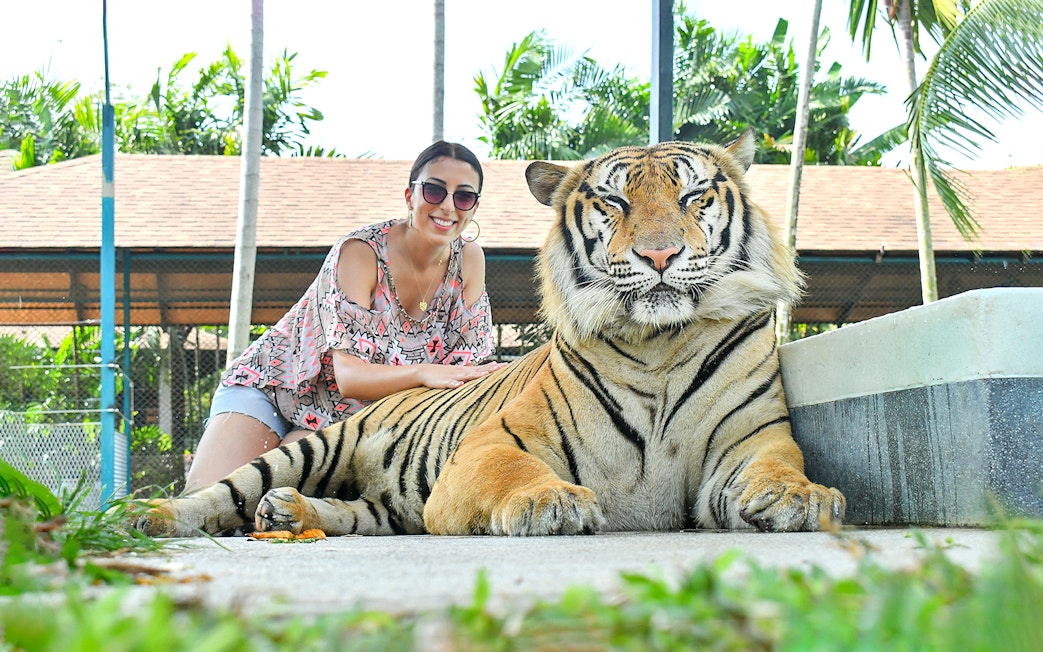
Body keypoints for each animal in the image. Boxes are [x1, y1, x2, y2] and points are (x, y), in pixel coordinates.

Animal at [134, 130, 846, 538]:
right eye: (613, 202)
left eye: (694, 197)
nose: (661, 255)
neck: (661, 345)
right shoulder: (490, 444)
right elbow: (512, 470)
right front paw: (548, 503)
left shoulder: (752, 439)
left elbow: (780, 467)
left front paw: (804, 498)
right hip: (306, 449)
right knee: (215, 492)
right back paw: (146, 516)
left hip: (385, 508)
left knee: (353, 514)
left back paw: (292, 513)